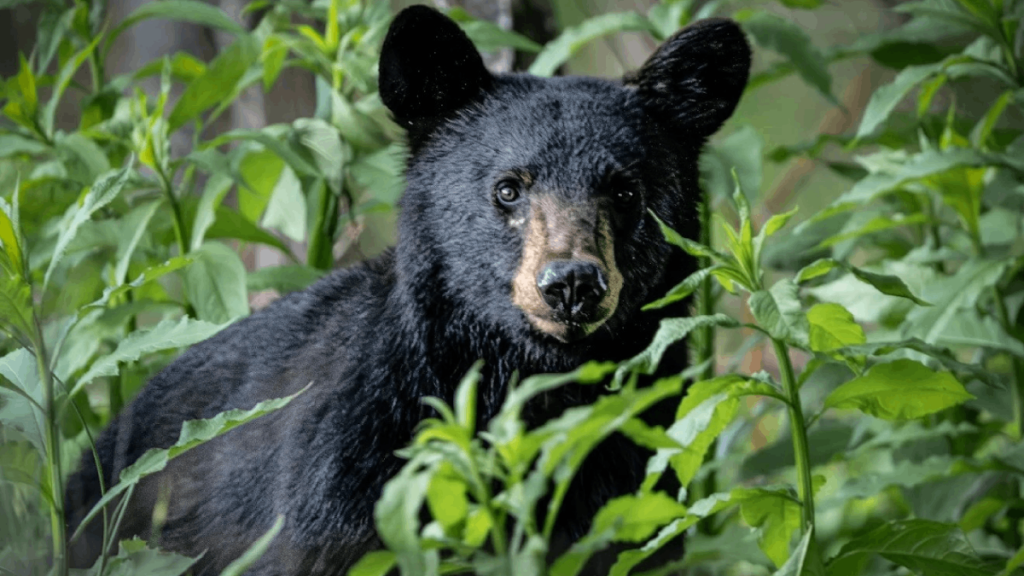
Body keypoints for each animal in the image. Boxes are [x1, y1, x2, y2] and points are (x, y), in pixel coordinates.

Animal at [64, 5, 750, 575]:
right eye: (508, 187)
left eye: (626, 190)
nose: (572, 284)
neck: (530, 389)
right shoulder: (343, 484)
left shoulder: (636, 480)